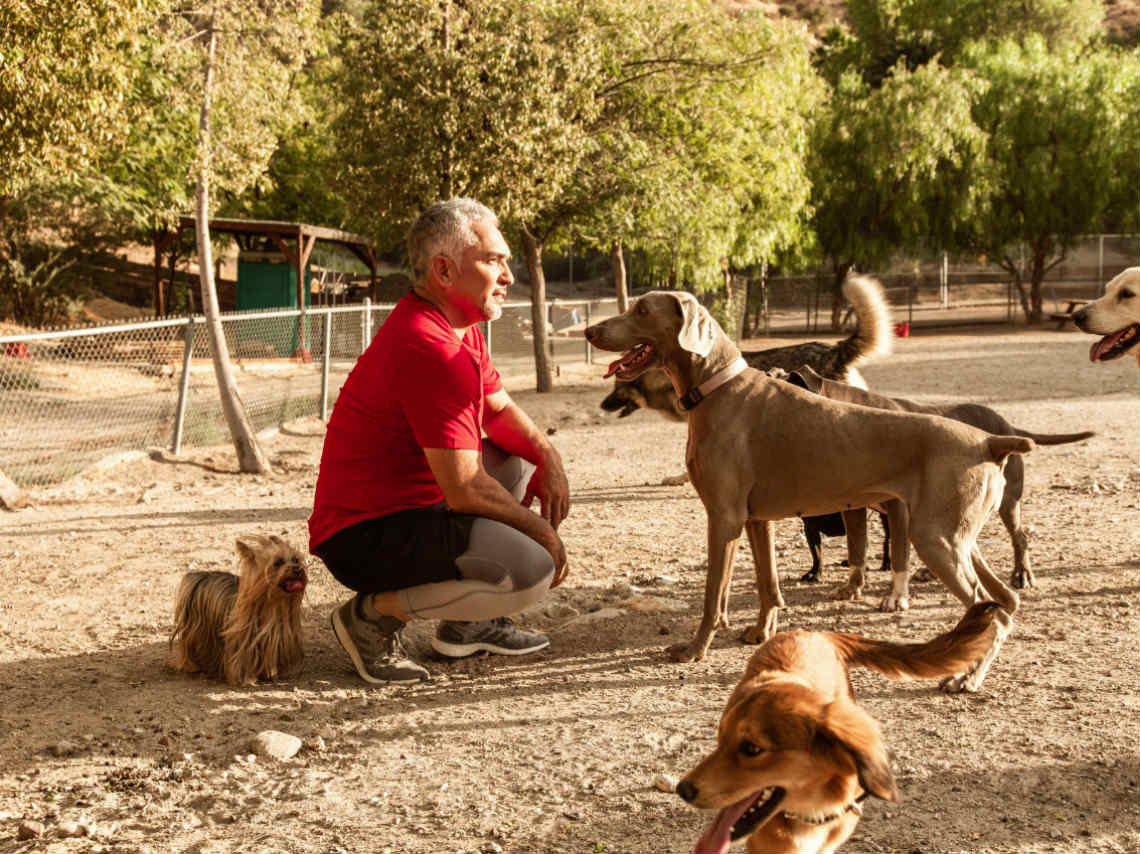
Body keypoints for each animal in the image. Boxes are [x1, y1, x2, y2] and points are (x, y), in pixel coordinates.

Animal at [583, 289, 1039, 688]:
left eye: (642, 309)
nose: (589, 331)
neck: (716, 387)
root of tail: (989, 441)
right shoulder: (756, 519)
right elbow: (768, 584)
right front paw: (761, 631)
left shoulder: (723, 518)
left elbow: (714, 596)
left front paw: (695, 649)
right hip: (956, 537)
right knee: (1004, 601)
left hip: (935, 538)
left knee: (994, 613)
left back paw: (967, 678)